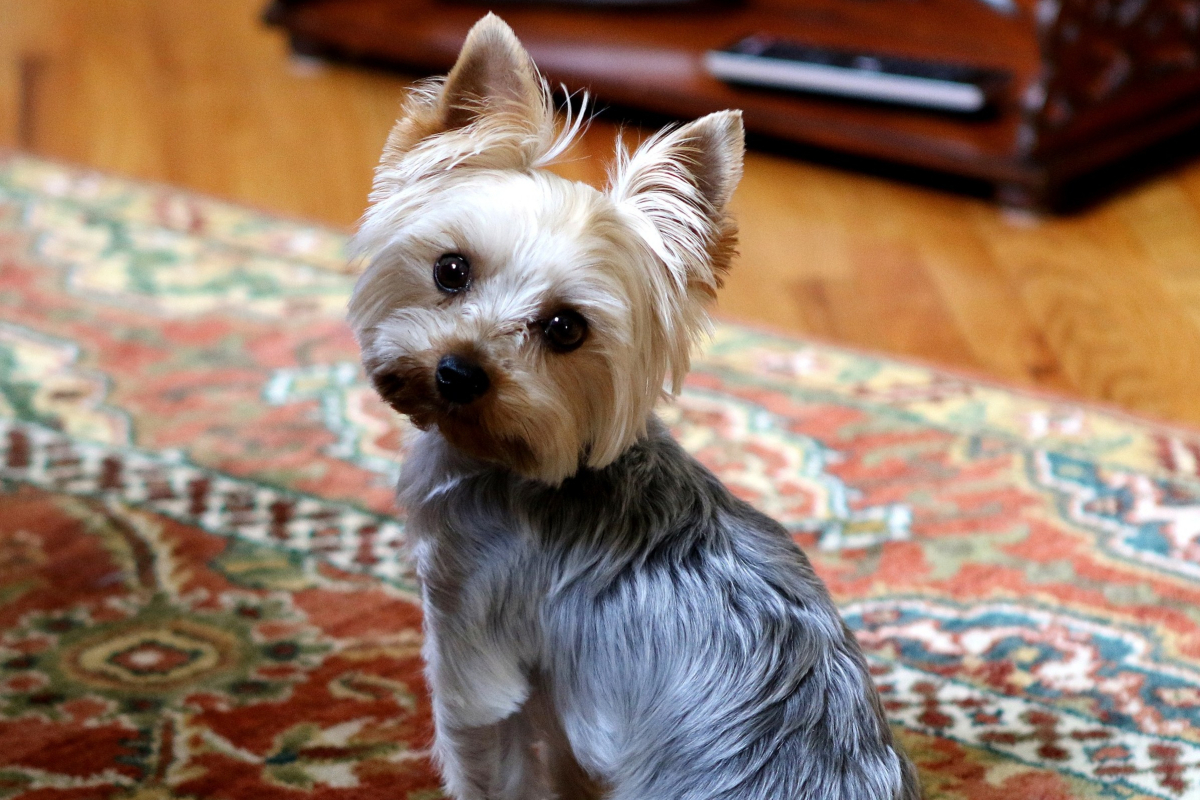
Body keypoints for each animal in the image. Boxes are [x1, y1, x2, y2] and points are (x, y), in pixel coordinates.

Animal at [348, 14, 916, 800]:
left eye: (566, 328)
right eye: (451, 269)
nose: (458, 372)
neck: (530, 470)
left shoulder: (468, 641)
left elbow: (481, 759)